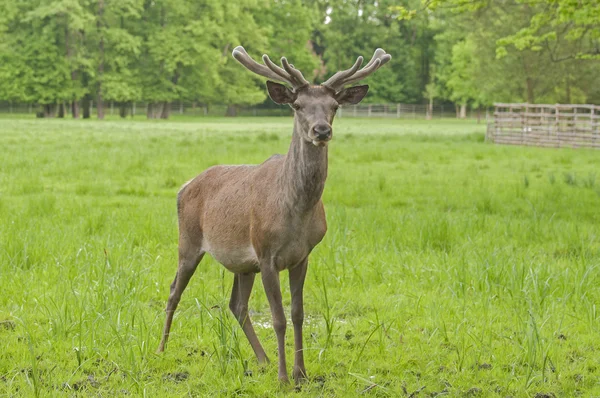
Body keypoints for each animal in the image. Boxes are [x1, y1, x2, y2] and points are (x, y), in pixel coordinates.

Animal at [157, 44, 392, 382]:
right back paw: (162, 348)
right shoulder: (266, 253)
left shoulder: (303, 255)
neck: (296, 213)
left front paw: (300, 373)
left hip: (243, 265)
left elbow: (298, 314)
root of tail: (185, 185)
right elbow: (278, 317)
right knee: (174, 290)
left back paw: (263, 360)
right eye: (297, 105)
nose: (322, 130)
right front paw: (283, 378)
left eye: (334, 106)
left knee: (237, 305)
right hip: (188, 241)